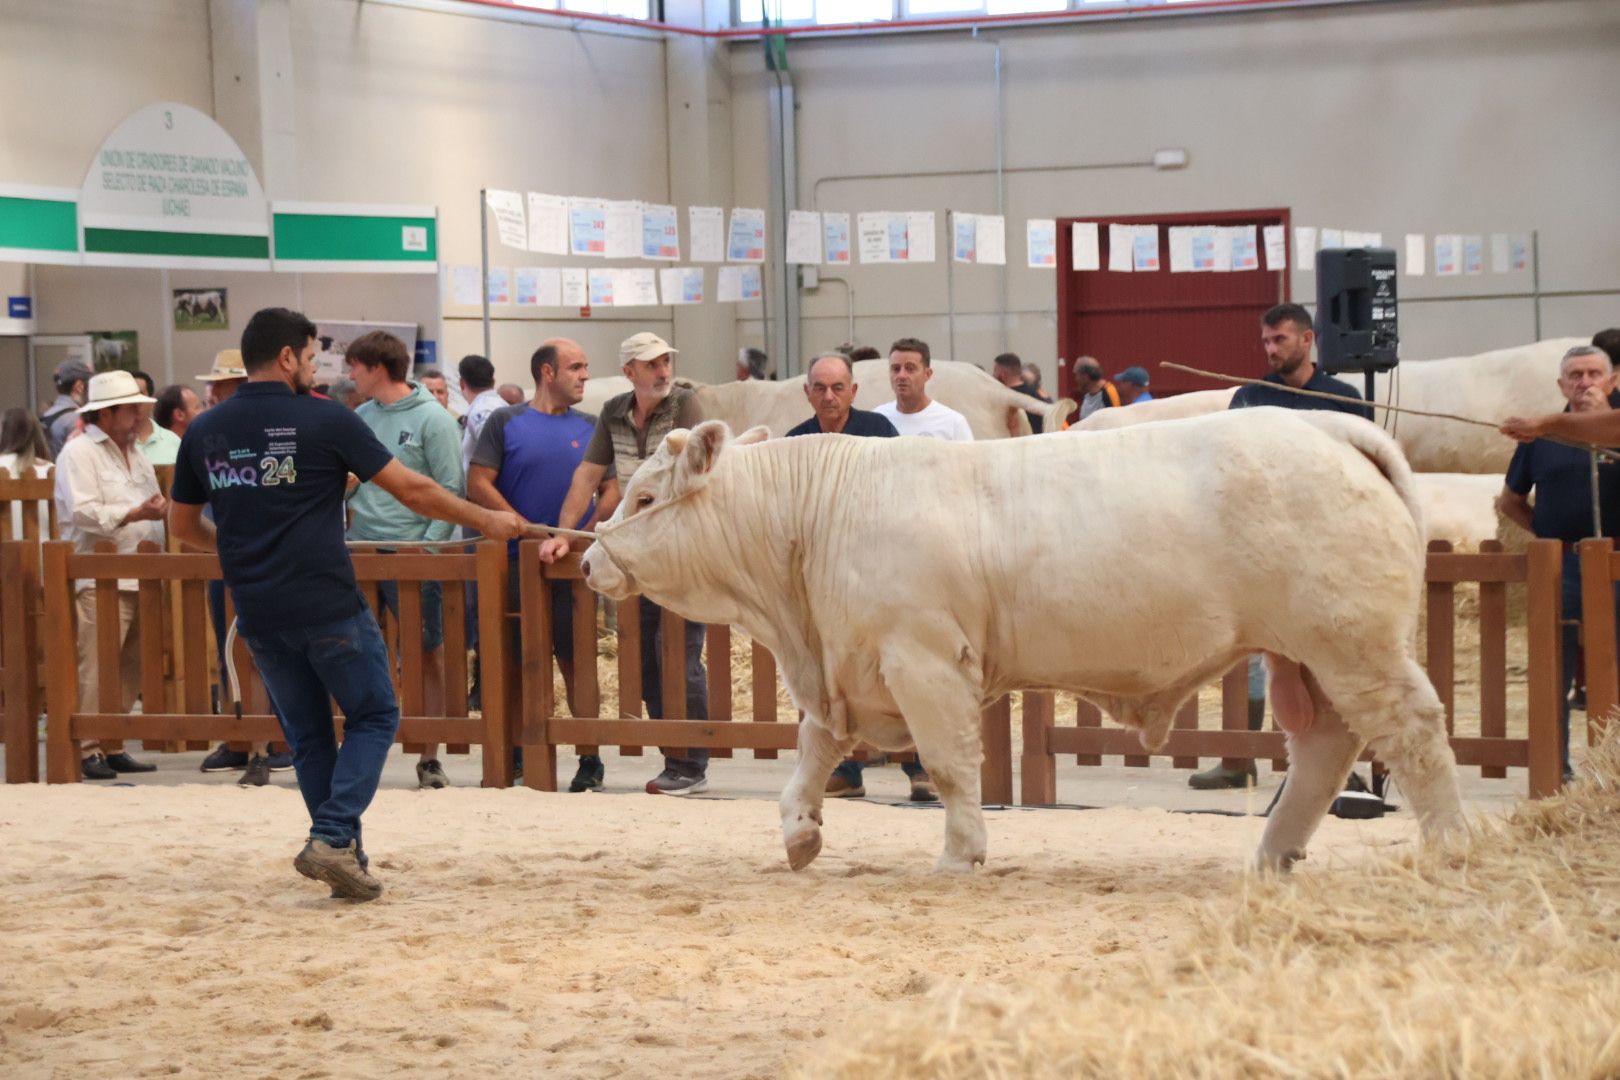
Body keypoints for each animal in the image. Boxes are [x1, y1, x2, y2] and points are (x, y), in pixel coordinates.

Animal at [583, 409, 1470, 874]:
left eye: (646, 496)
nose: (589, 560)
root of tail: (1328, 426)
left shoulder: (922, 659)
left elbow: (947, 767)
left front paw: (959, 854)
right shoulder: (848, 664)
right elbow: (811, 755)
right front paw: (801, 836)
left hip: (1353, 644)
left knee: (1413, 734)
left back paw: (1450, 850)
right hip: (1309, 657)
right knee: (1323, 748)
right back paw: (1273, 856)